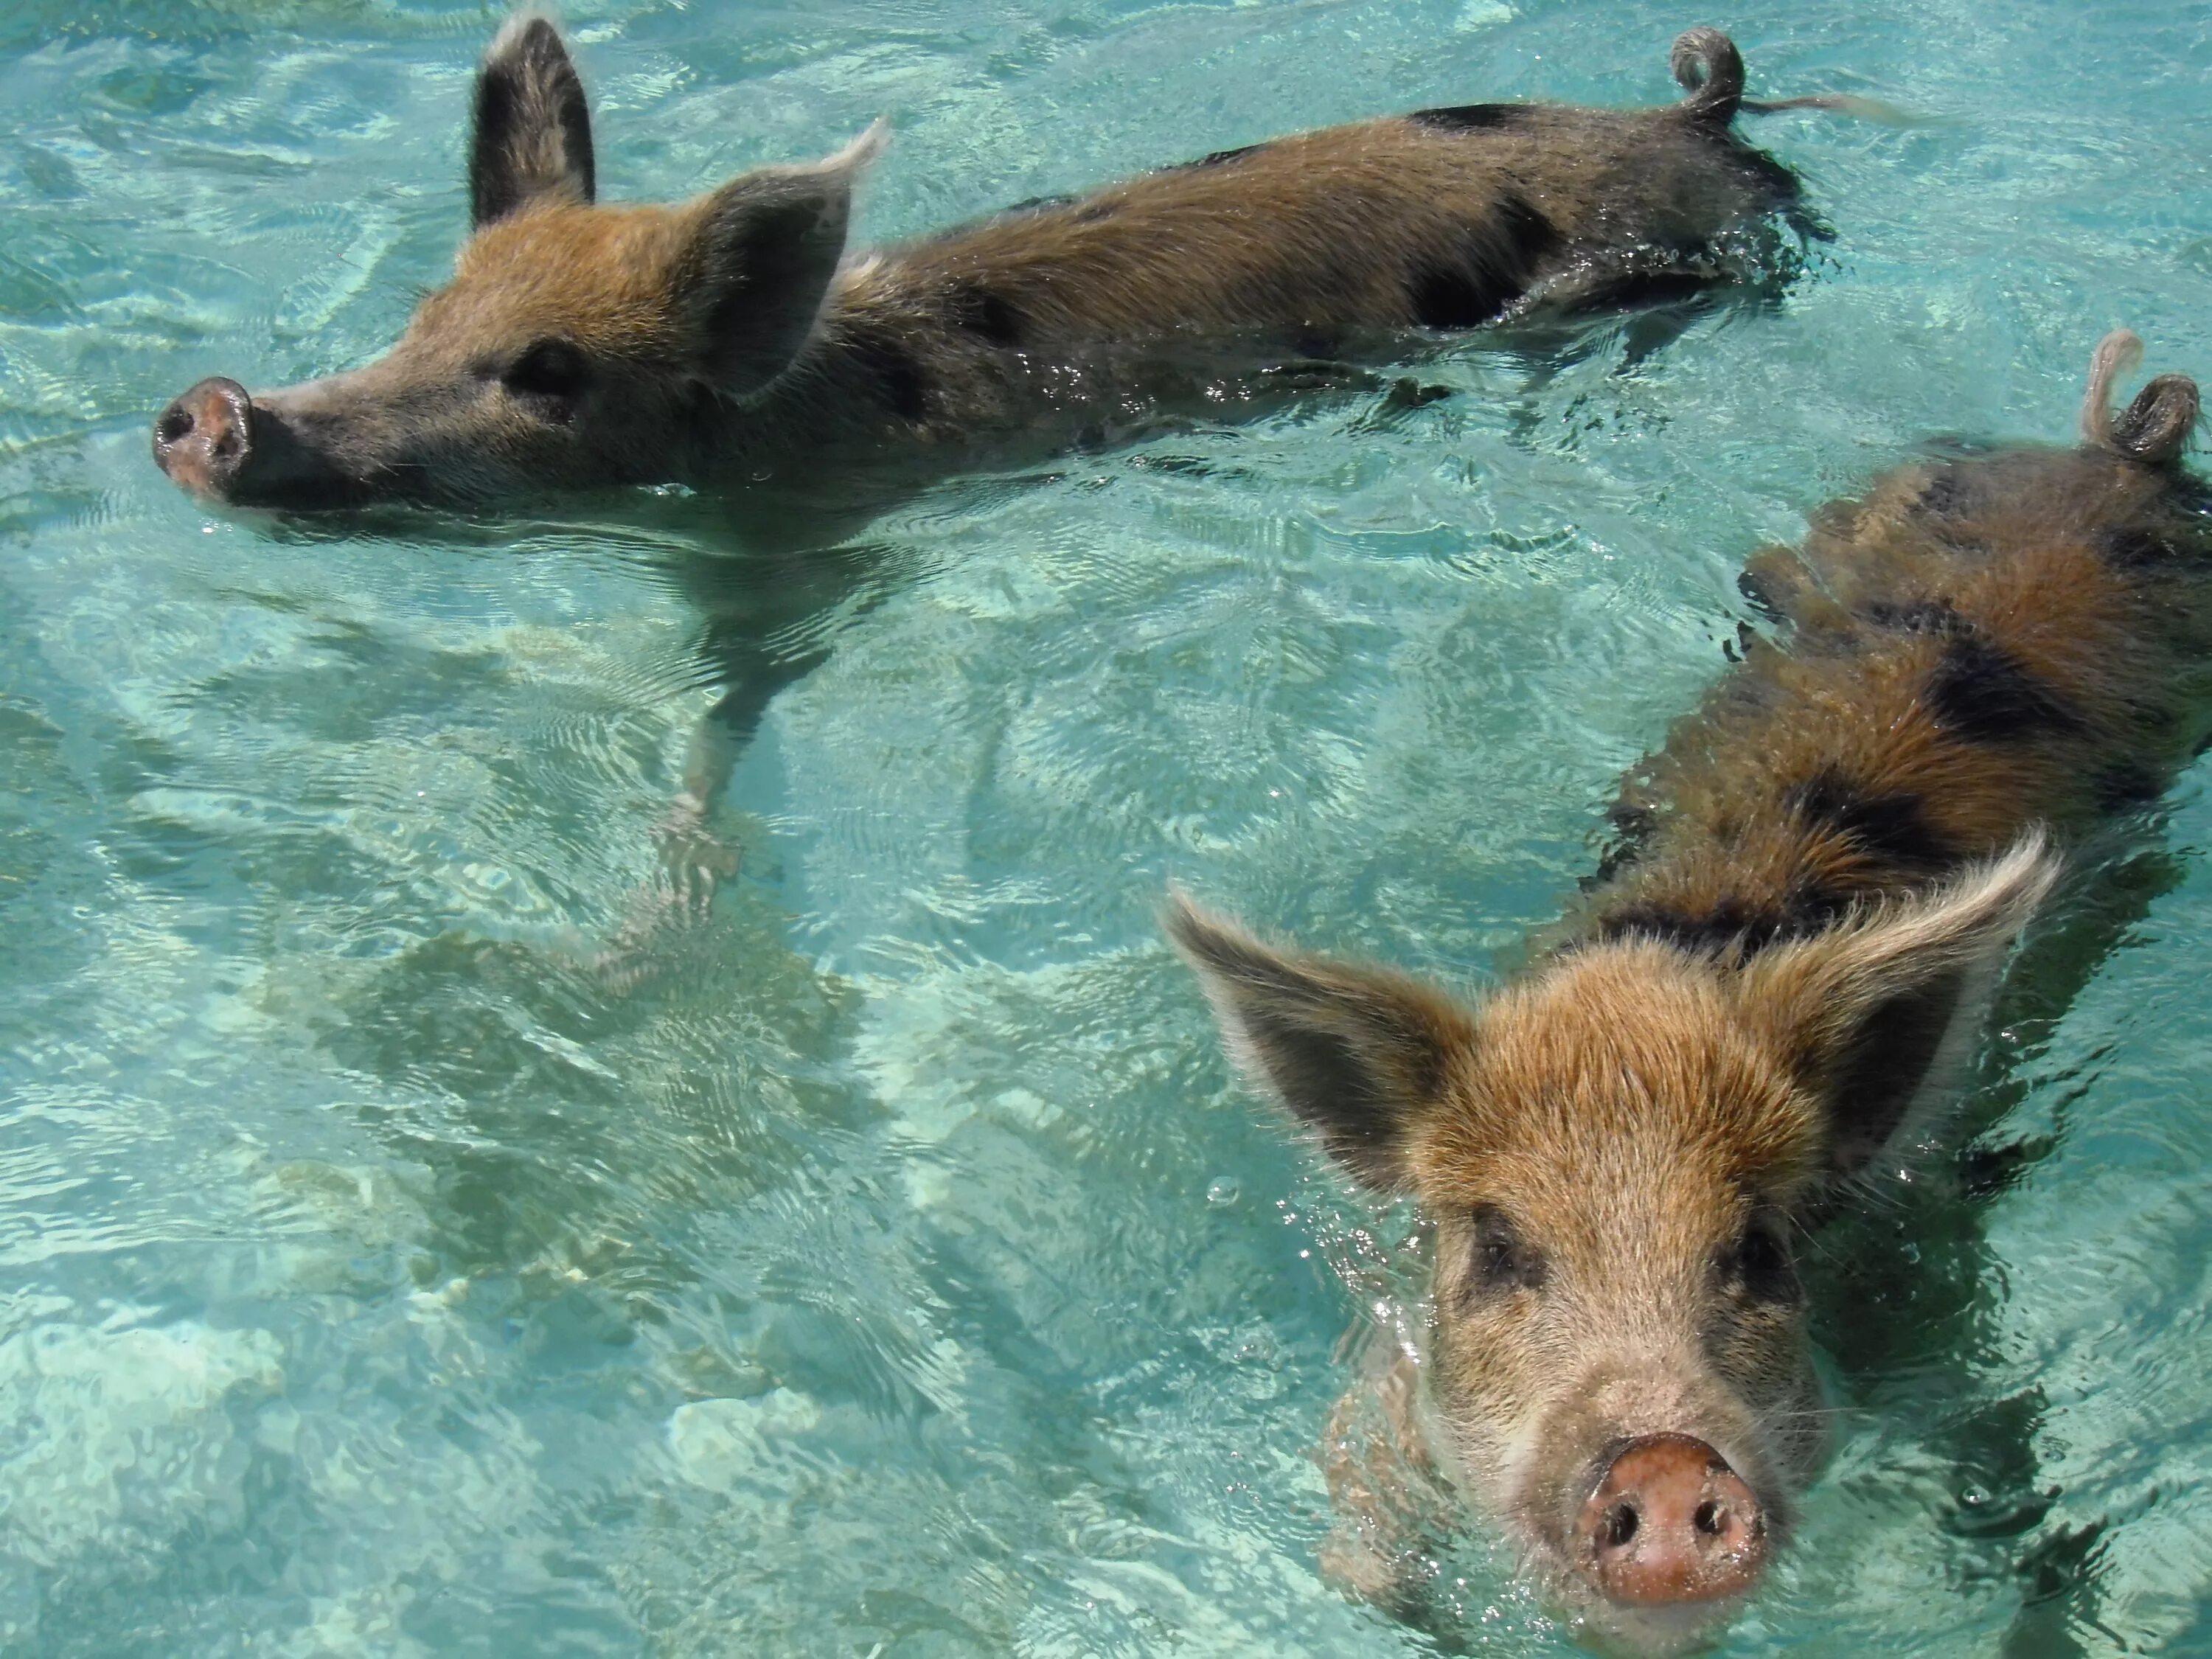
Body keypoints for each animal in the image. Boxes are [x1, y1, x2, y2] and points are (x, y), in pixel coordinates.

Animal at [1168, 332, 2203, 1655]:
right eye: (1499, 1248)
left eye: (1756, 1249)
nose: (1663, 1464)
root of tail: (2116, 450)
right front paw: (1375, 1594)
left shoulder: (1931, 1278)